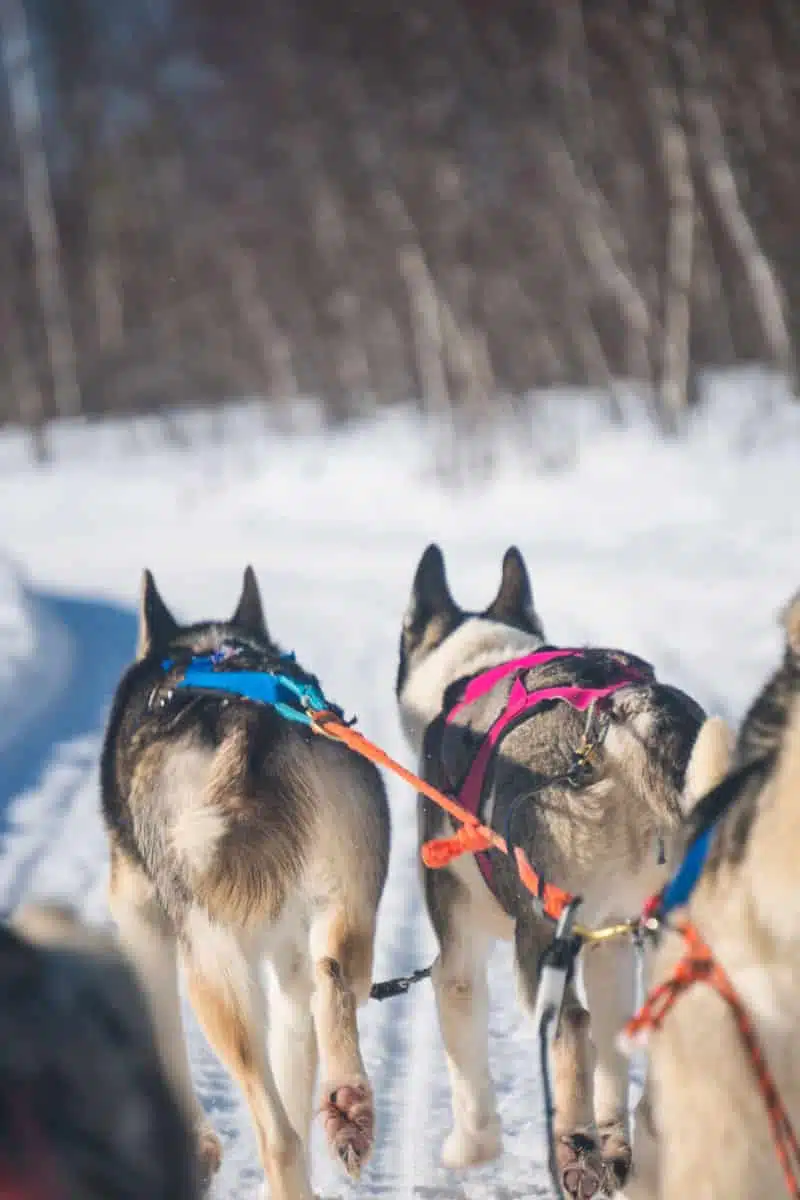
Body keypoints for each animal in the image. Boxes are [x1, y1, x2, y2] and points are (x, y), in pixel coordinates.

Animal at [98, 566, 393, 1195]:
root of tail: (246, 722)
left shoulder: (142, 925)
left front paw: (196, 1150)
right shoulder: (287, 962)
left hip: (213, 966)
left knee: (278, 1137)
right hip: (347, 912)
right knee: (333, 982)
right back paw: (348, 1108)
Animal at [395, 547, 705, 1200]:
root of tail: (622, 728)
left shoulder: (458, 950)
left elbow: (463, 1039)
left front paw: (470, 1147)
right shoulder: (610, 939)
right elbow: (613, 1047)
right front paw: (617, 1142)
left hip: (540, 937)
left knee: (571, 1027)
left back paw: (575, 1150)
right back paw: (628, 1153)